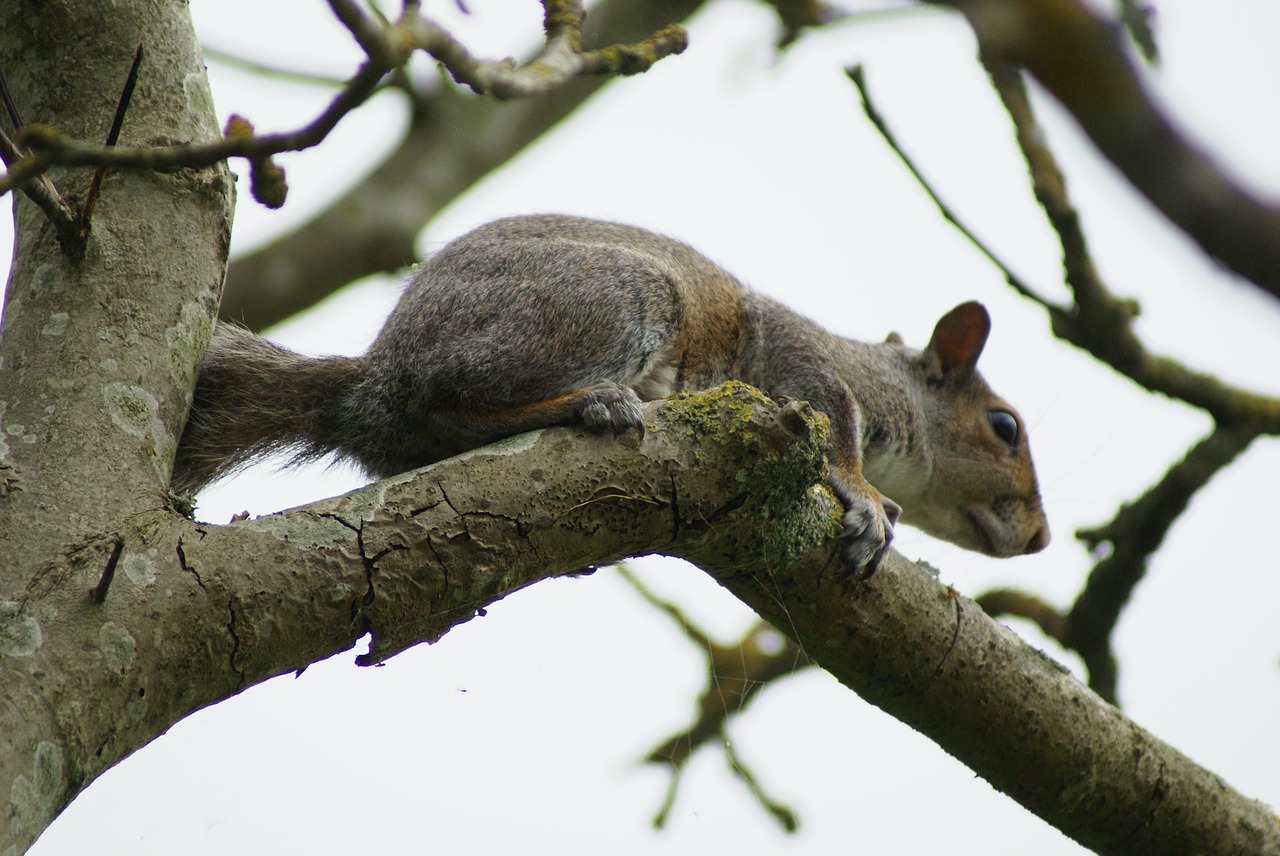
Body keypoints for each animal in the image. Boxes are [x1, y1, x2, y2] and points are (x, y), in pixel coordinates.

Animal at [170, 213, 1049, 573]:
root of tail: (376, 377)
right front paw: (865, 496)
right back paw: (593, 403)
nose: (1040, 538)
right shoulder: (805, 365)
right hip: (615, 300)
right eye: (1005, 427)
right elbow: (833, 429)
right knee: (449, 402)